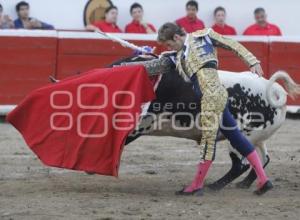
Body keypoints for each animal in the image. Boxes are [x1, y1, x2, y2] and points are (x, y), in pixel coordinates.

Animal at [109, 55, 300, 191]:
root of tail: (274, 90)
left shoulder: (137, 126)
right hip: (257, 136)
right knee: (263, 159)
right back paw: (245, 184)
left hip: (240, 138)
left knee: (240, 165)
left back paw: (214, 186)